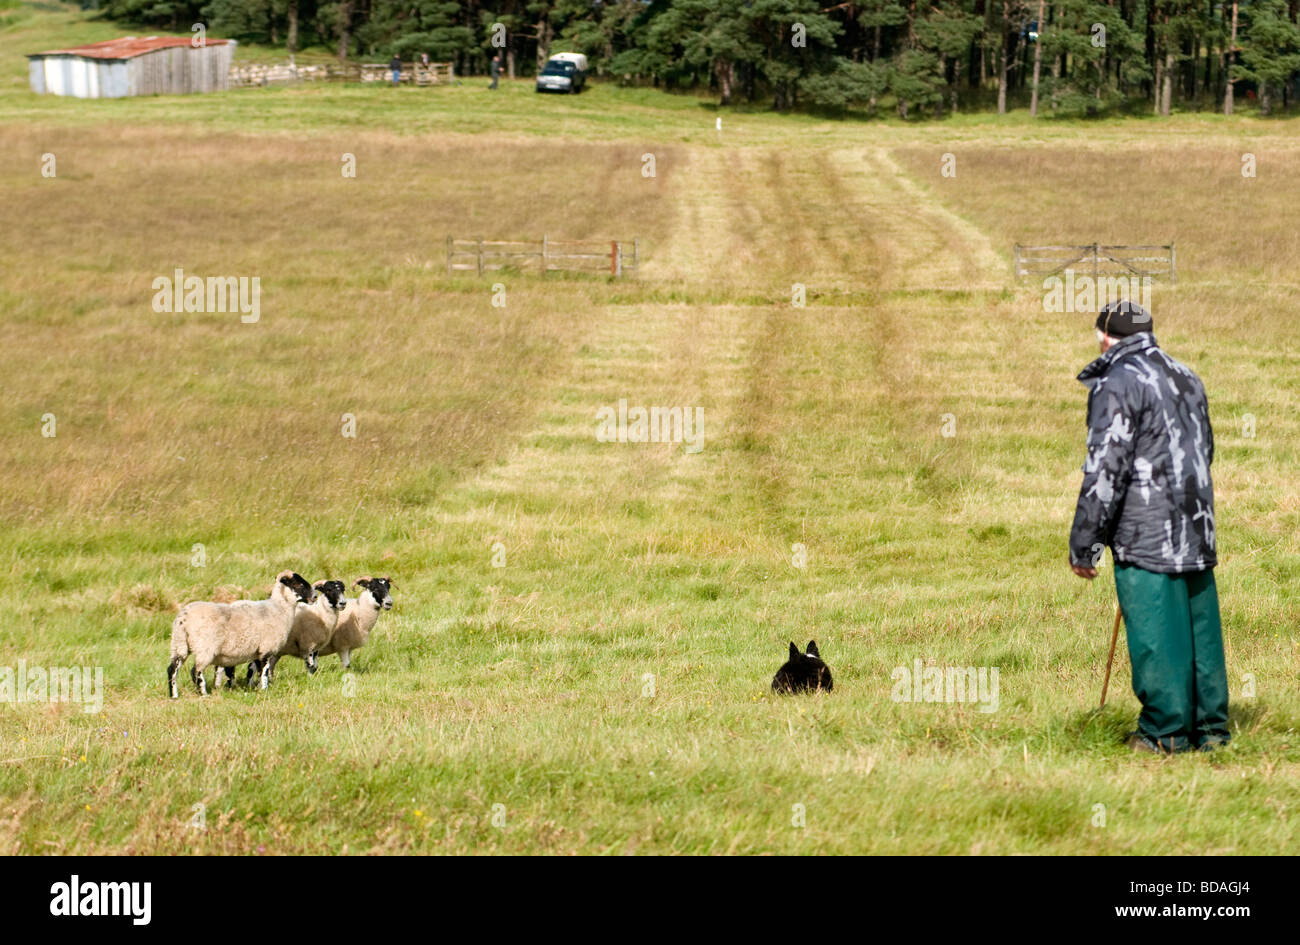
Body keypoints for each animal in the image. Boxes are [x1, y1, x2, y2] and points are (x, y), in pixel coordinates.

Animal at [167, 571, 314, 696]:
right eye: (299, 584)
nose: (314, 597)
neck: (279, 609)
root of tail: (183, 618)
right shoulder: (266, 649)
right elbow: (264, 671)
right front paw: (265, 690)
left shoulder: (257, 651)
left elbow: (255, 670)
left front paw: (254, 687)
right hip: (205, 648)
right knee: (196, 671)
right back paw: (203, 694)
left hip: (179, 644)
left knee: (172, 669)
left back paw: (174, 695)